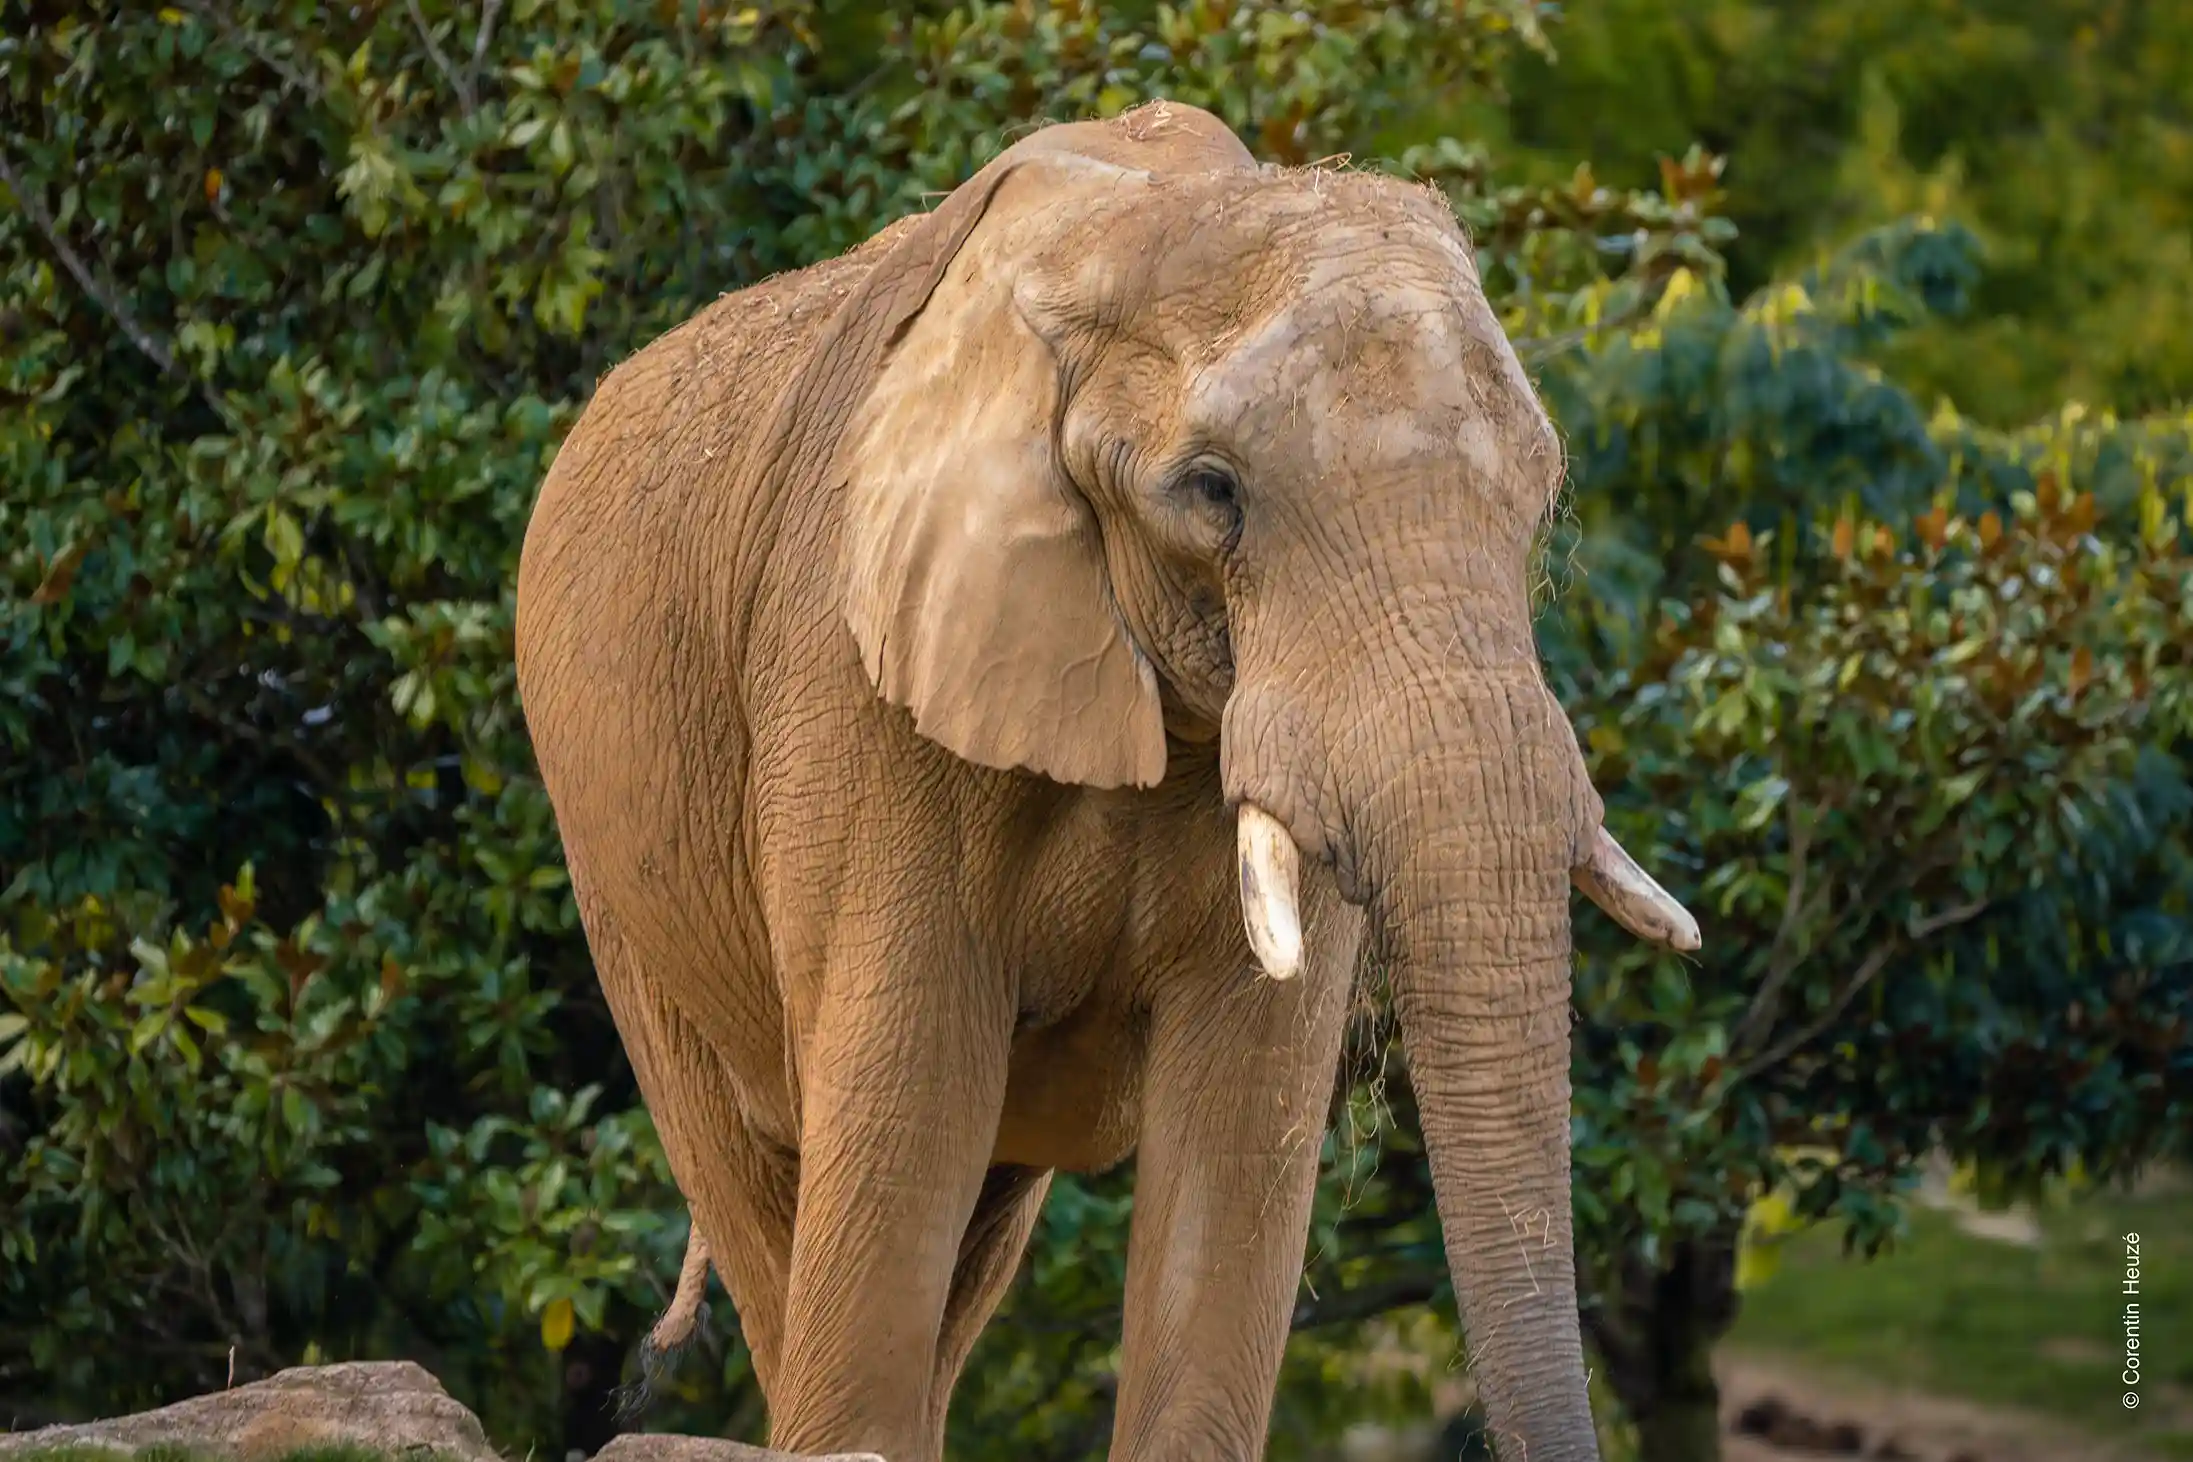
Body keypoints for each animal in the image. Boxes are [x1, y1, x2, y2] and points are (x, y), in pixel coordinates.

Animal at [514, 99, 1698, 1462]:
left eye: (1543, 498)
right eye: (1213, 493)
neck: (1139, 228)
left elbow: (1234, 1146)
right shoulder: (857, 684)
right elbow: (900, 1125)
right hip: (615, 872)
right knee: (766, 1199)